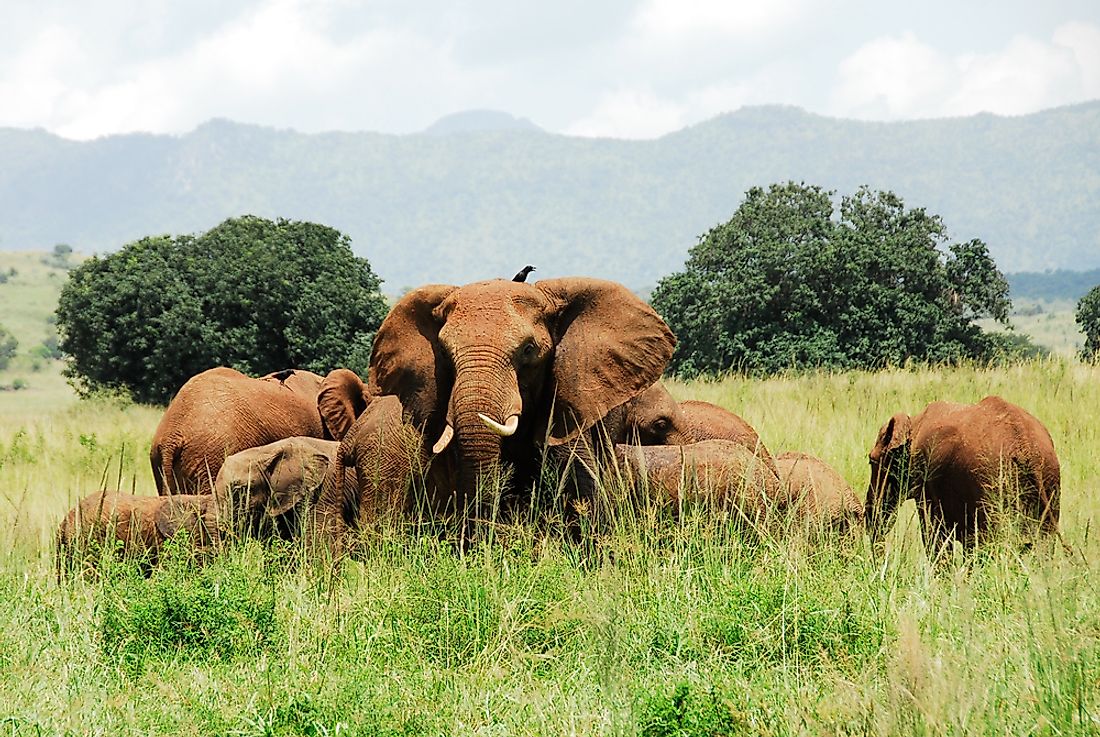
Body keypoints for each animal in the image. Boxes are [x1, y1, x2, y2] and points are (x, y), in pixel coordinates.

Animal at [862, 396, 1060, 556]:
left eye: (871, 461)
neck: (913, 423)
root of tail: (1024, 445)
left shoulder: (926, 481)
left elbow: (935, 538)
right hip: (1049, 481)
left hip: (990, 486)